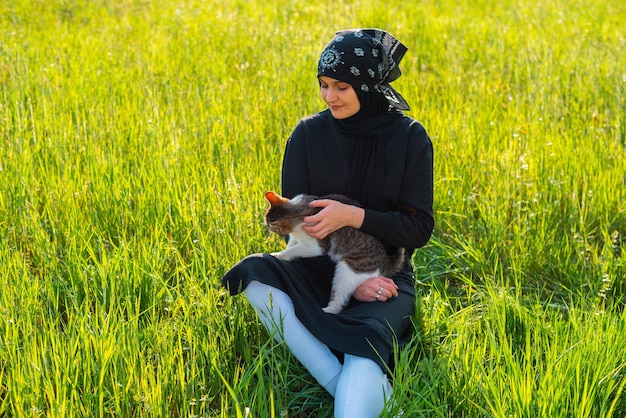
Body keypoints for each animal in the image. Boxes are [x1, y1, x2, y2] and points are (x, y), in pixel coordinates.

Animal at [260, 191, 402, 312]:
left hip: (348, 271)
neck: (300, 210)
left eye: (269, 224)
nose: (265, 224)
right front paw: (285, 254)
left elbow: (296, 249)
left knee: (339, 300)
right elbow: (292, 245)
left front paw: (279, 255)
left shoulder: (317, 246)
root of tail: (385, 262)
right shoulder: (296, 237)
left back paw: (327, 310)